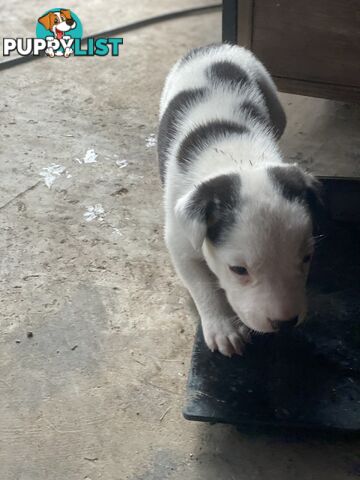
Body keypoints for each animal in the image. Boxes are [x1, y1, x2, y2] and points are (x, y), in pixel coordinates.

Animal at [158, 45, 320, 358]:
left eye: (306, 258)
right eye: (238, 270)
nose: (285, 323)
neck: (237, 159)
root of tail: (216, 46)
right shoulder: (180, 241)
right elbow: (203, 285)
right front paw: (224, 329)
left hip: (271, 95)